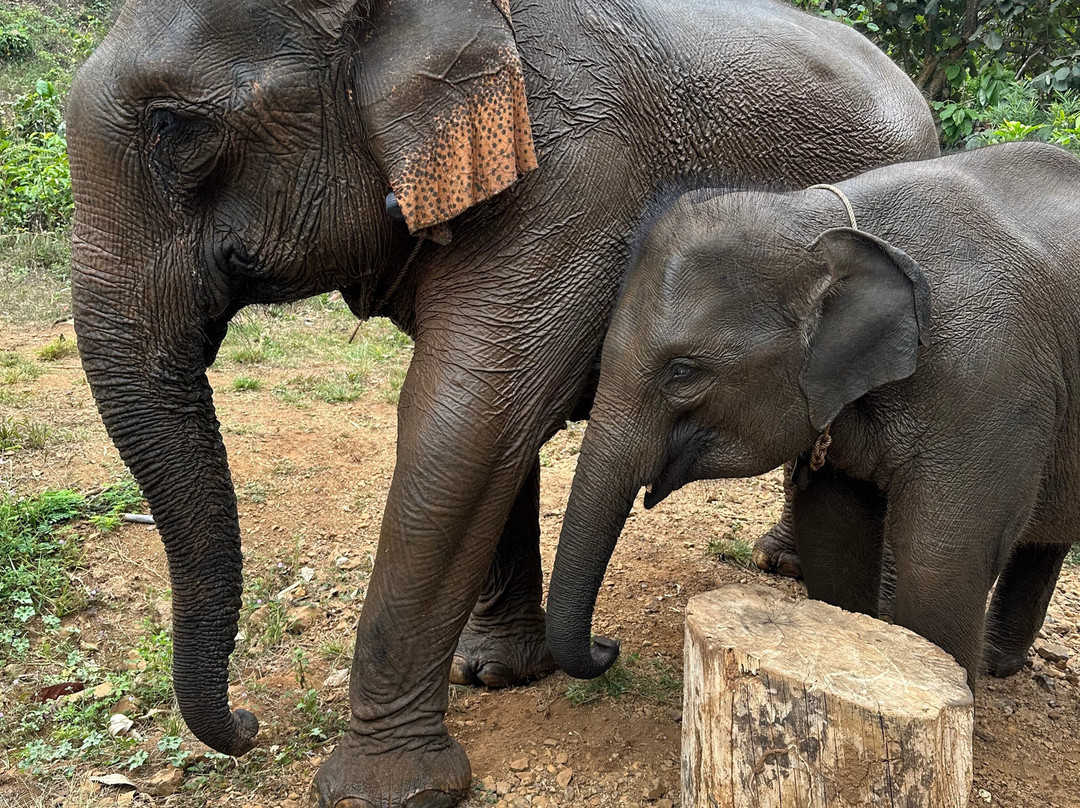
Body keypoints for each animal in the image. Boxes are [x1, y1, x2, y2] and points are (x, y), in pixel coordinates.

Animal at [66, 0, 939, 804]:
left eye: (177, 127)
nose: (247, 726)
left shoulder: (575, 178)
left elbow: (465, 419)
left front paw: (387, 793)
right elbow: (492, 425)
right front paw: (491, 675)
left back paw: (784, 565)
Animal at [545, 141, 1080, 692]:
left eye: (681, 371)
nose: (607, 645)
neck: (814, 218)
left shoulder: (991, 387)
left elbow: (942, 563)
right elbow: (832, 533)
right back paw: (999, 664)